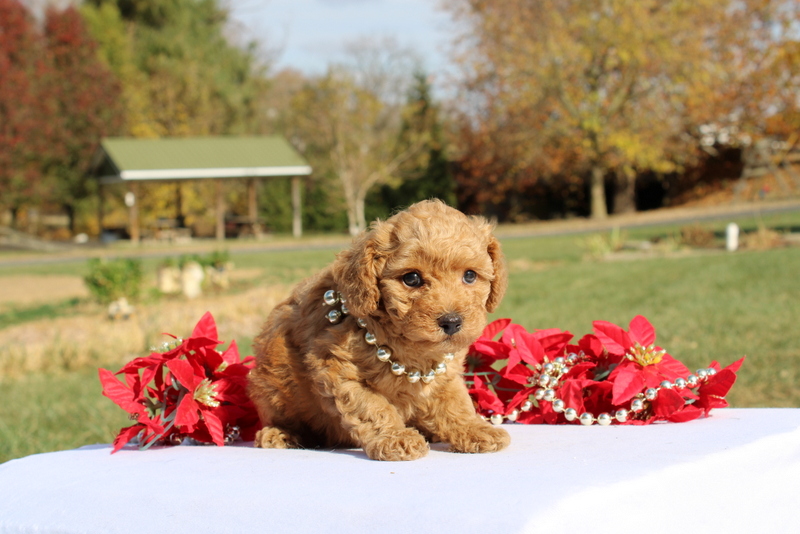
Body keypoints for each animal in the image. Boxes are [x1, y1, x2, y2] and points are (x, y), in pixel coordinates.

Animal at [250, 200, 510, 460]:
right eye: (412, 278)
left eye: (470, 275)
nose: (452, 322)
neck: (411, 348)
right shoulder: (339, 369)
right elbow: (373, 407)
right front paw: (396, 438)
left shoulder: (446, 375)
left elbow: (456, 401)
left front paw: (474, 429)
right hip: (272, 387)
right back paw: (280, 434)